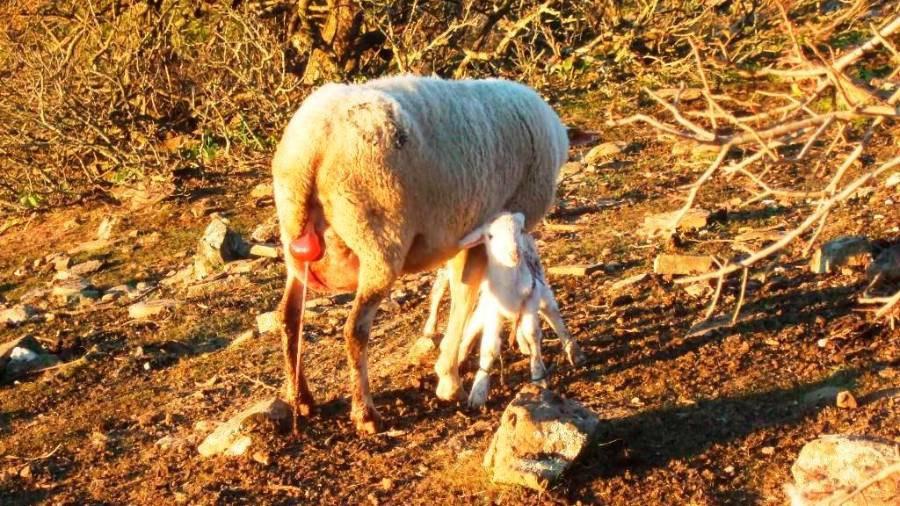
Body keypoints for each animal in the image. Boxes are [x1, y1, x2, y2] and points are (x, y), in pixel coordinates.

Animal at [446, 212, 588, 408]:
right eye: (490, 236)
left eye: (520, 230)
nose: (514, 254)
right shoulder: (493, 309)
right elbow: (489, 347)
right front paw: (478, 391)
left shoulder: (531, 300)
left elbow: (533, 335)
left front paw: (538, 375)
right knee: (476, 320)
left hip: (542, 286)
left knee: (553, 314)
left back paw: (574, 352)